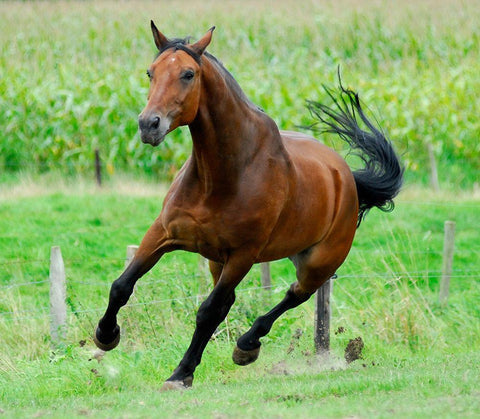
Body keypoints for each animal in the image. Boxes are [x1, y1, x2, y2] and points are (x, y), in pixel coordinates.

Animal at [93, 22, 402, 390]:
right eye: (150, 72)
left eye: (188, 74)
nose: (148, 125)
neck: (222, 176)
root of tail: (345, 177)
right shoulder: (163, 234)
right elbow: (121, 286)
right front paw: (105, 335)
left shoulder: (244, 254)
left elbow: (207, 311)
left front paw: (180, 374)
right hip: (220, 259)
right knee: (233, 300)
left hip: (318, 263)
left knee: (294, 295)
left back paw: (247, 345)